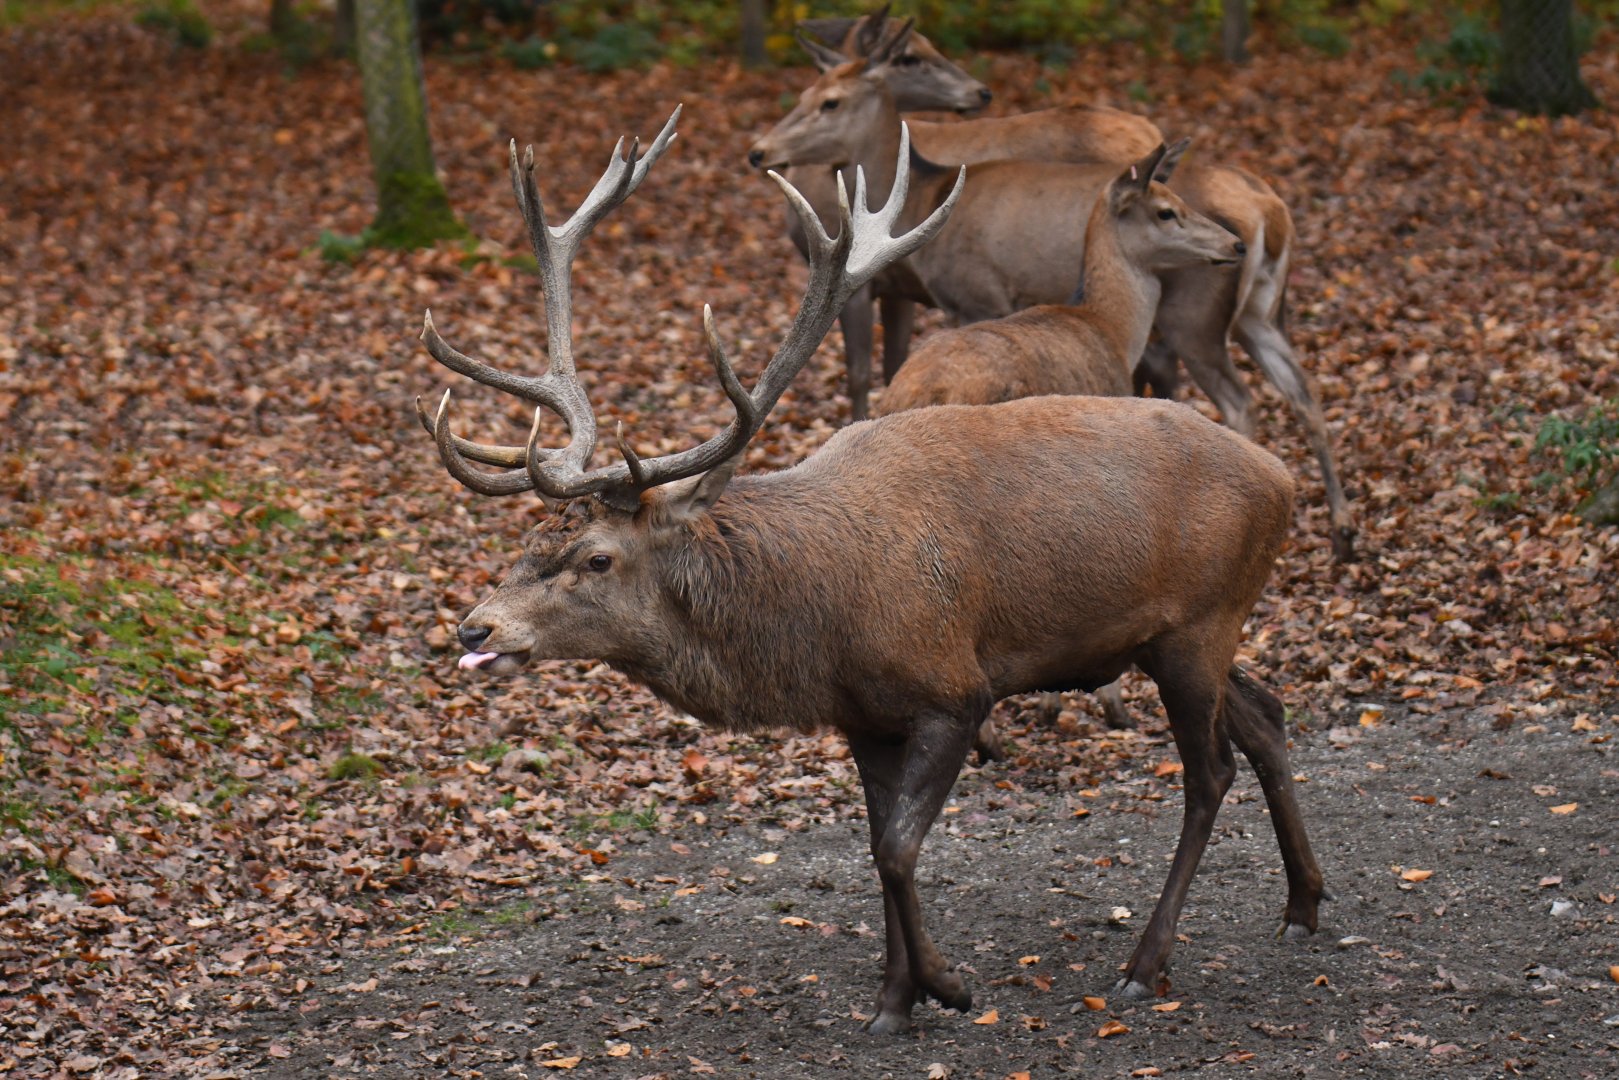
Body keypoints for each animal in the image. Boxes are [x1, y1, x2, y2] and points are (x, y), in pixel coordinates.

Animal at [771, 7, 1163, 423]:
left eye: (831, 102)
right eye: (806, 92)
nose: (760, 150)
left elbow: (860, 374)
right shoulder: (900, 288)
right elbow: (890, 366)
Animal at [878, 143, 1245, 747]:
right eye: (1166, 210)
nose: (1234, 244)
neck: (1111, 330)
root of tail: (919, 391)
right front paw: (1105, 705)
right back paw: (988, 737)